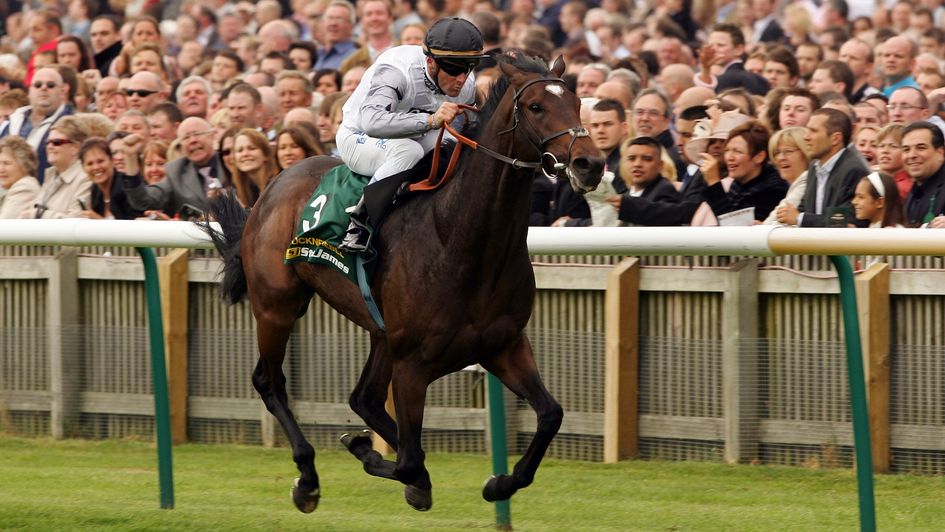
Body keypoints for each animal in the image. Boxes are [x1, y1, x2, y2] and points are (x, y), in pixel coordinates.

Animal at [206, 53, 604, 512]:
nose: (591, 164)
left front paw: (500, 483)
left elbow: (551, 414)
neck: (460, 240)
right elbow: (410, 462)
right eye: (537, 106)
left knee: (363, 397)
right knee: (270, 382)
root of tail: (271, 186)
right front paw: (371, 454)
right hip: (277, 305)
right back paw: (307, 477)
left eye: (577, 102)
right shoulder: (413, 364)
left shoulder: (503, 345)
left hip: (381, 333)